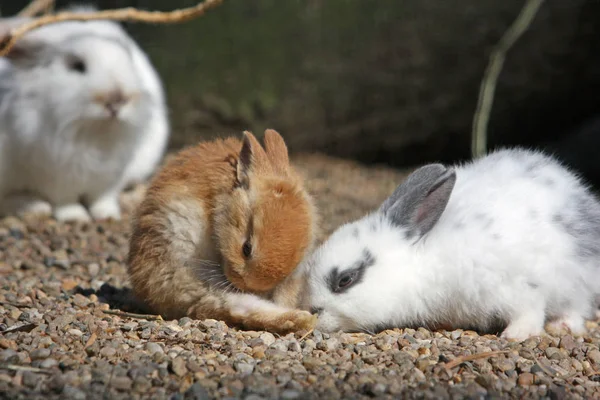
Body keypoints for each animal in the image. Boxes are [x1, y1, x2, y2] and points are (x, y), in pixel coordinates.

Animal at [0, 4, 169, 222]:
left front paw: (107, 215)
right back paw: (35, 207)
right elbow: (65, 200)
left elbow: (104, 196)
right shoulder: (53, 169)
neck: (94, 131)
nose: (117, 98)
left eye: (128, 59)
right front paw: (75, 217)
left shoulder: (113, 171)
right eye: (77, 66)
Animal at [308, 148, 600, 340]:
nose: (313, 312)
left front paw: (514, 335)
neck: (421, 262)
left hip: (573, 280)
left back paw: (561, 326)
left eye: (345, 279)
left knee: (576, 307)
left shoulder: (516, 288)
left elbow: (529, 313)